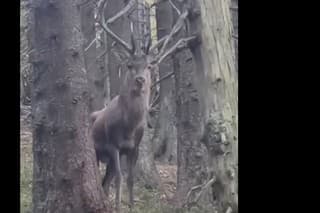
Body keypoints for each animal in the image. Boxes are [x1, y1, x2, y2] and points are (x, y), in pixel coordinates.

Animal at [89, 0, 198, 211]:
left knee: (105, 181)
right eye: (130, 65)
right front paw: (118, 207)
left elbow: (130, 178)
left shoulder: (135, 148)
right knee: (102, 178)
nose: (140, 80)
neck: (128, 127)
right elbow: (120, 178)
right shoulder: (113, 145)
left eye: (149, 65)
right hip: (97, 151)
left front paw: (131, 206)